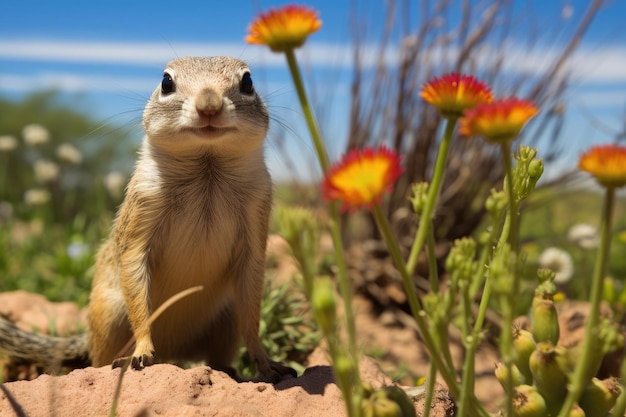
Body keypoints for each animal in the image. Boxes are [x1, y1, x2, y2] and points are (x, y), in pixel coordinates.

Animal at [0, 55, 294, 384]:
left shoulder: (257, 217)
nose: (209, 106)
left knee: (218, 355)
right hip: (110, 317)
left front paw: (267, 361)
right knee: (99, 359)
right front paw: (141, 350)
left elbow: (253, 314)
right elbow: (136, 275)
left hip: (227, 320)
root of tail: (174, 351)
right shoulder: (143, 210)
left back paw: (232, 372)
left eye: (247, 82)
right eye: (166, 82)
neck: (207, 165)